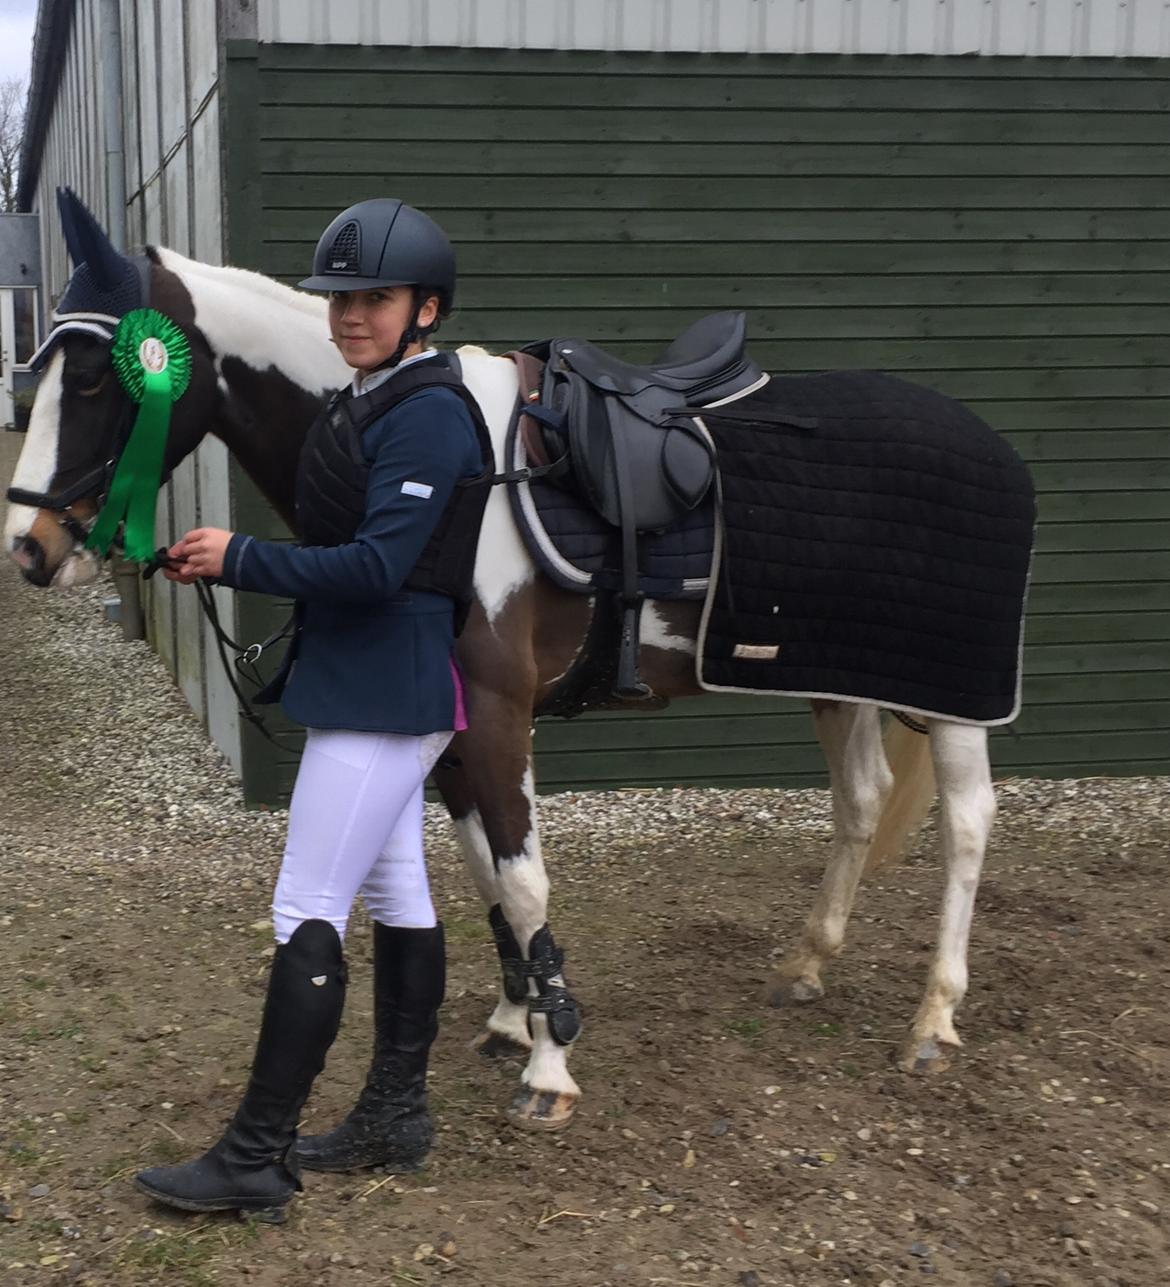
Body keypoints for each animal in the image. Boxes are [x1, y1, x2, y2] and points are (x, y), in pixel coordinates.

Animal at [6, 207, 1017, 1131]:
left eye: (93, 375)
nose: (28, 546)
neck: (442, 469)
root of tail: (986, 440)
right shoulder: (449, 725)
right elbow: (486, 873)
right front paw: (513, 1016)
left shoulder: (497, 713)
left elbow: (525, 878)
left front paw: (551, 1063)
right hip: (835, 676)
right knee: (861, 799)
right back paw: (806, 965)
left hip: (954, 699)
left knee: (969, 823)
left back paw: (933, 1021)